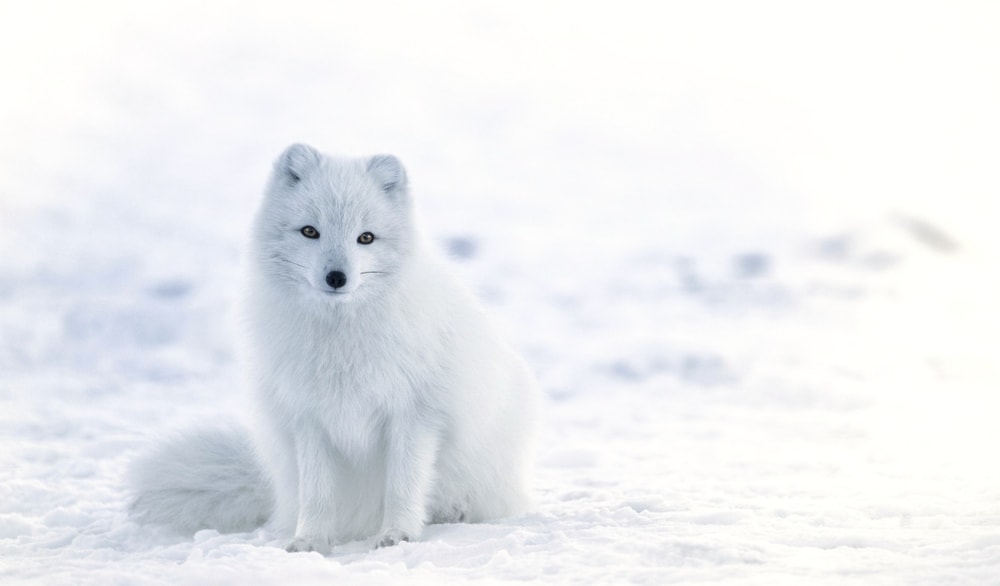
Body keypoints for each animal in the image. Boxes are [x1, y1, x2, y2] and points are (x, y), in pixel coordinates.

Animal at [134, 144, 544, 548]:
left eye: (366, 237)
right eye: (310, 231)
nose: (336, 277)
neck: (341, 339)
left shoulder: (415, 413)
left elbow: (403, 484)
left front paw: (397, 534)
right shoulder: (309, 417)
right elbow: (317, 492)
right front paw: (311, 541)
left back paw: (452, 512)